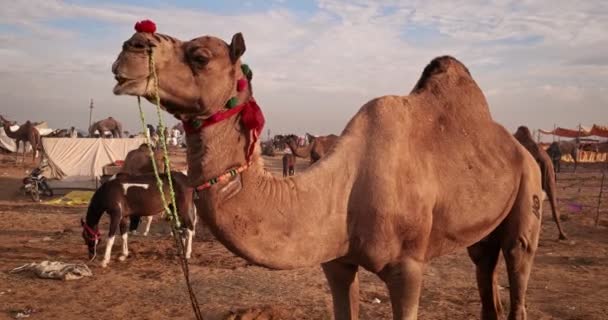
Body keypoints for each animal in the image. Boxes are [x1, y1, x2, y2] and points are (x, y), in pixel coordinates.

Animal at [111, 27, 544, 320]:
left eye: (199, 56)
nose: (131, 44)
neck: (340, 190)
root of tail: (520, 149)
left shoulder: (408, 267)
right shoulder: (335, 260)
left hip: (530, 187)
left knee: (518, 259)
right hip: (483, 225)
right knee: (484, 264)